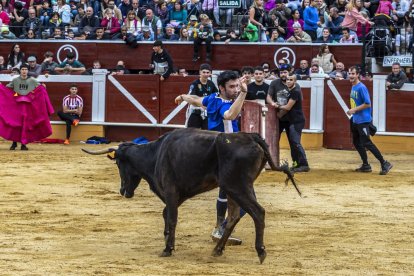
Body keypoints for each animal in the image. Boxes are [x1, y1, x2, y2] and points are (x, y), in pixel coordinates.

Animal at [81, 128, 300, 264]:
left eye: (119, 163)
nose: (122, 191)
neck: (155, 153)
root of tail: (251, 137)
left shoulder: (170, 191)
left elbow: (171, 218)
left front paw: (167, 249)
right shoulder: (177, 195)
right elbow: (166, 215)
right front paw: (167, 241)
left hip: (237, 186)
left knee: (258, 212)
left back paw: (260, 251)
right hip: (232, 189)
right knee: (234, 216)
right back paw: (217, 250)